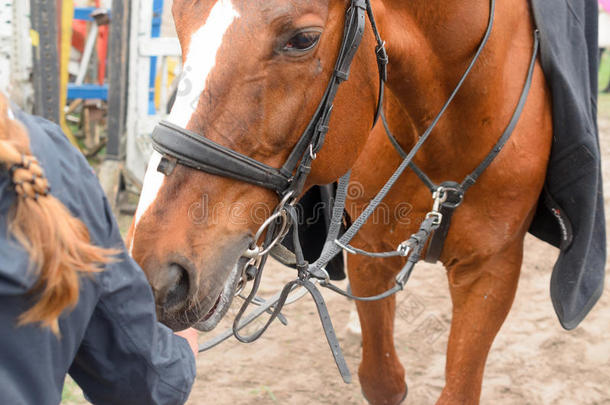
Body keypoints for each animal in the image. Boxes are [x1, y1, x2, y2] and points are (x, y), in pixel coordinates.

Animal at [128, 1, 552, 402]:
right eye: (179, 21)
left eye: (304, 39)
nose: (158, 271)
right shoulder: (370, 254)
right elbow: (382, 381)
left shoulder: (492, 271)